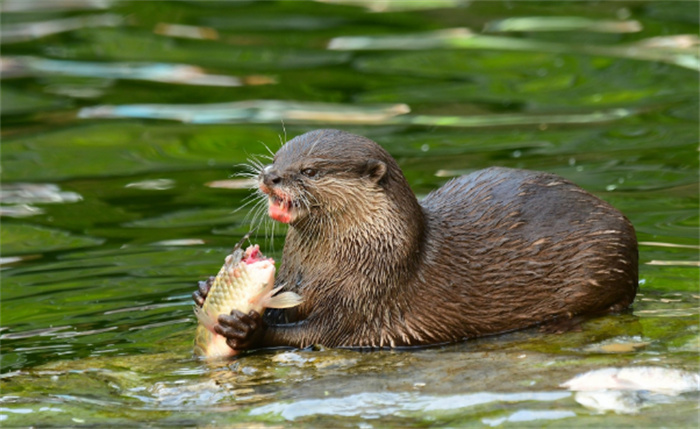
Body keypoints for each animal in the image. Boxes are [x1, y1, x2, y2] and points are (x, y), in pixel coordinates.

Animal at [194, 129, 636, 352]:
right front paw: (205, 290)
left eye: (310, 170)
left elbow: (320, 333)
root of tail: (616, 215)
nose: (269, 176)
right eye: (277, 157)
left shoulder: (369, 294)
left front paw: (248, 330)